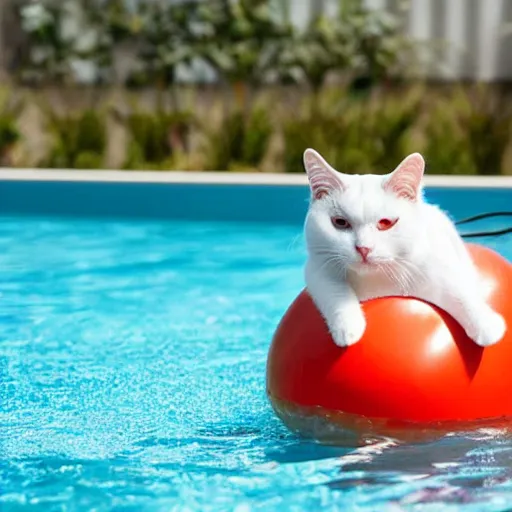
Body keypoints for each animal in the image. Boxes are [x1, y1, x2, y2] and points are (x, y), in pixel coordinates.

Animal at [302, 148, 506, 348]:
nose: (363, 248)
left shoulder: (436, 264)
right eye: (340, 222)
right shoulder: (317, 269)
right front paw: (348, 329)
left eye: (385, 223)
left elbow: (459, 289)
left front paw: (487, 325)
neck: (378, 279)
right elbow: (335, 291)